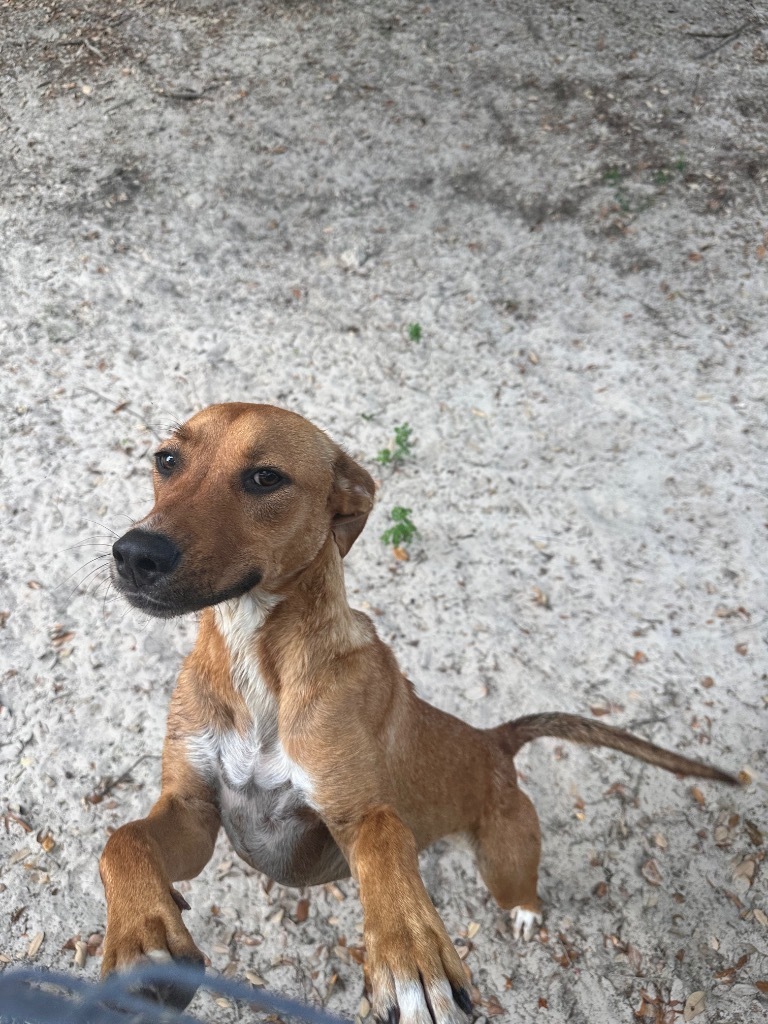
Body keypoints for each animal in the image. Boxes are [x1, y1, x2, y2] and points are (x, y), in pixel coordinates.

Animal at [100, 403, 741, 1019]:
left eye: (265, 478)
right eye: (165, 460)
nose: (134, 553)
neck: (257, 661)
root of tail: (493, 741)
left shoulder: (354, 818)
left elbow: (386, 844)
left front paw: (411, 956)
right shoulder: (193, 813)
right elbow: (122, 842)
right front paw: (140, 938)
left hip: (505, 862)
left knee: (521, 890)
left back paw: (525, 914)